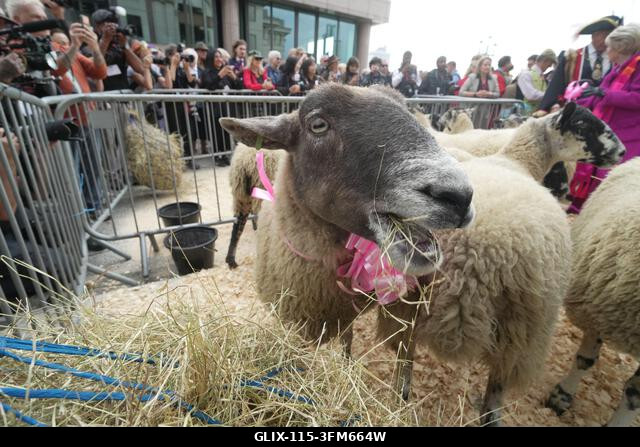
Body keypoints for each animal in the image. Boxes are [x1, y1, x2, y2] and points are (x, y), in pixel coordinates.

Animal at [376, 102, 626, 426]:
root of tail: (467, 259)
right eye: (583, 125)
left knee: (404, 364)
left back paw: (398, 402)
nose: (622, 152)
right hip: (523, 329)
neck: (516, 159)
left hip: (407, 307)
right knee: (495, 394)